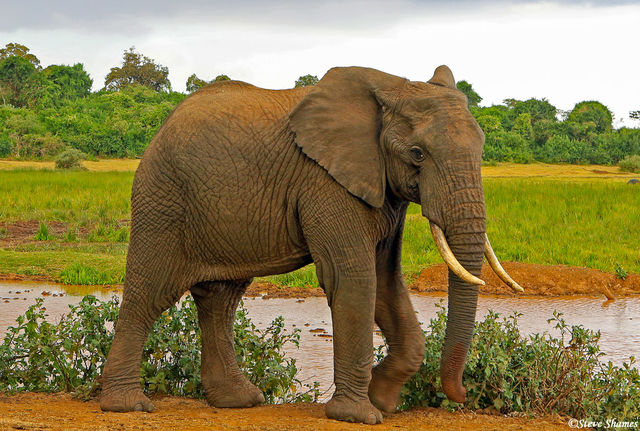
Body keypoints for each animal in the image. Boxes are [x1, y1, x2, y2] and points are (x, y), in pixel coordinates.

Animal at [99, 65, 522, 424]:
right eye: (417, 154)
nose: (462, 396)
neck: (392, 85)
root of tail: (161, 128)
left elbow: (387, 281)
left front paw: (384, 399)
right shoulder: (326, 180)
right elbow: (355, 277)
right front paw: (360, 415)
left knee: (220, 299)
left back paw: (240, 400)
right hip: (163, 199)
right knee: (150, 293)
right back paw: (127, 405)